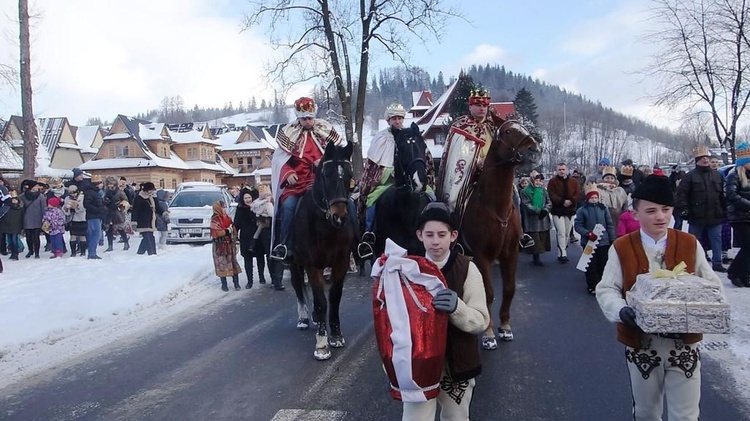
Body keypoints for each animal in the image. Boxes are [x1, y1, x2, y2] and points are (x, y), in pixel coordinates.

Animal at [290, 140, 356, 358]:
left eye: (350, 176)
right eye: (327, 175)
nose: (339, 217)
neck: (326, 227)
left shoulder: (341, 263)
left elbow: (334, 298)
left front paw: (335, 335)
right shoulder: (313, 266)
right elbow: (320, 301)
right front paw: (321, 344)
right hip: (294, 263)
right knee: (297, 286)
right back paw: (303, 318)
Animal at [452, 119, 540, 348]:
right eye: (508, 131)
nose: (534, 150)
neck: (495, 207)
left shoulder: (511, 253)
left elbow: (509, 289)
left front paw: (505, 327)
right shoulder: (482, 255)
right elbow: (488, 293)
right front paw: (488, 333)